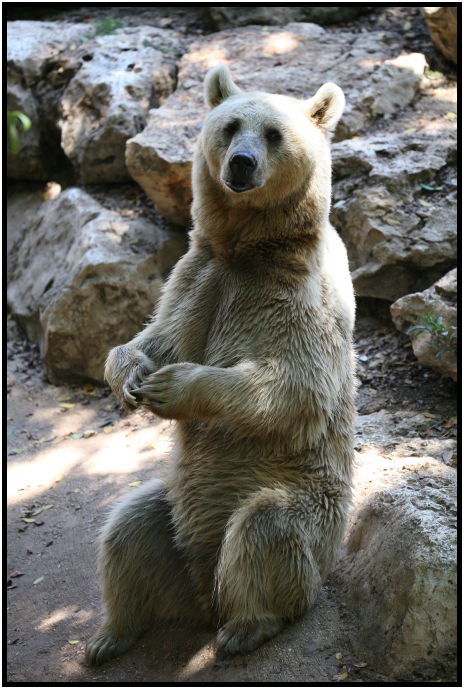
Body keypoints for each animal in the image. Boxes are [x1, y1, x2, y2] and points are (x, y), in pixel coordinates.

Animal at [85, 64, 356, 665]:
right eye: (230, 126)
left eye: (274, 133)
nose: (241, 163)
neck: (251, 249)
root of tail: (202, 593)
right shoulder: (198, 277)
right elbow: (159, 335)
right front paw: (131, 373)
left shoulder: (300, 294)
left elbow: (297, 386)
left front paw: (174, 387)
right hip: (171, 507)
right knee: (127, 530)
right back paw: (109, 635)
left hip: (314, 507)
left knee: (265, 530)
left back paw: (245, 626)